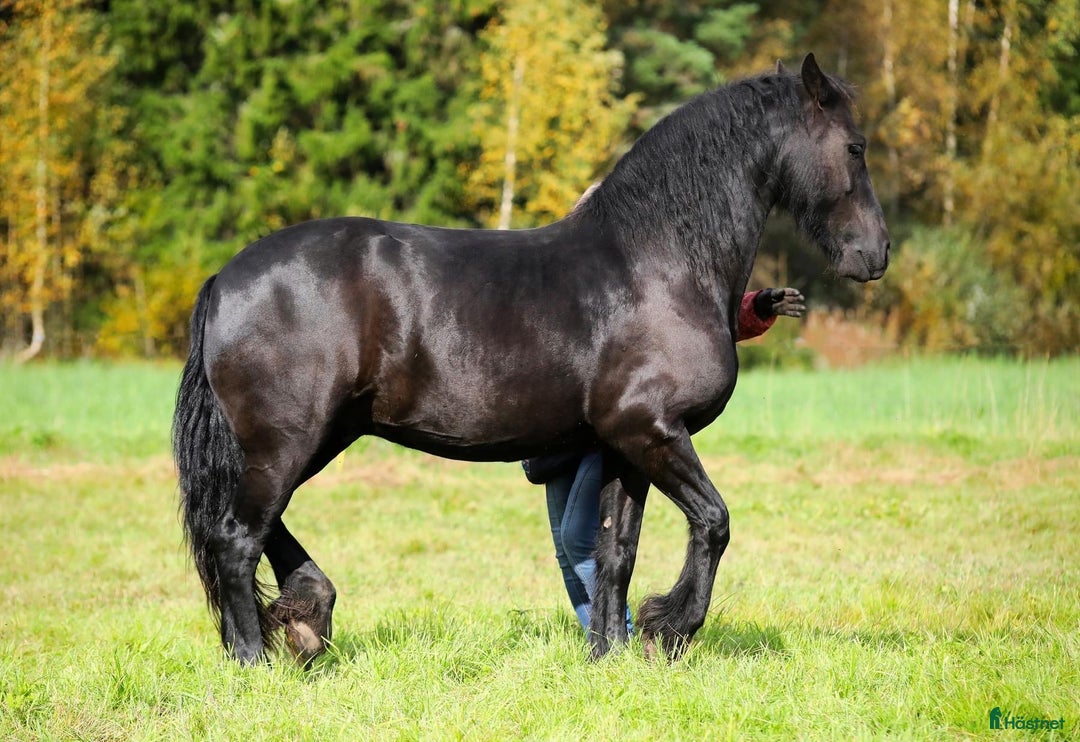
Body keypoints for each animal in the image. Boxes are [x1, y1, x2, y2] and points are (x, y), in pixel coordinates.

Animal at [173, 53, 889, 665]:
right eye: (855, 147)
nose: (875, 255)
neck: (658, 264)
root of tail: (224, 279)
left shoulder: (626, 445)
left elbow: (615, 552)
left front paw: (610, 655)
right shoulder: (652, 430)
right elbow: (713, 523)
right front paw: (671, 627)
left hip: (318, 436)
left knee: (254, 528)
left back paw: (306, 616)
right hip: (287, 441)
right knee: (236, 538)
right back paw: (256, 658)